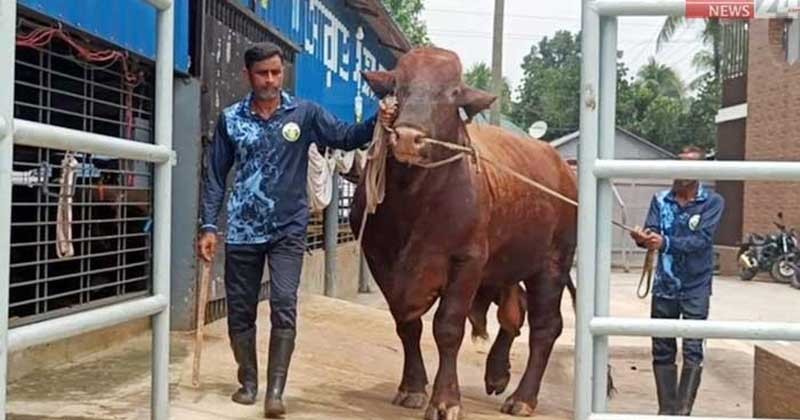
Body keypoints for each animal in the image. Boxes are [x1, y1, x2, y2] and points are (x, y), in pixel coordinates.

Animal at [352, 47, 580, 418]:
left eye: (453, 93)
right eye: (398, 86)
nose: (408, 137)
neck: (413, 198)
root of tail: (562, 167)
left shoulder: (467, 262)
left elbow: (447, 327)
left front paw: (445, 399)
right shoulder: (379, 258)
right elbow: (407, 324)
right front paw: (412, 387)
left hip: (551, 265)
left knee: (545, 326)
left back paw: (523, 397)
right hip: (506, 267)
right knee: (515, 312)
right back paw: (497, 373)